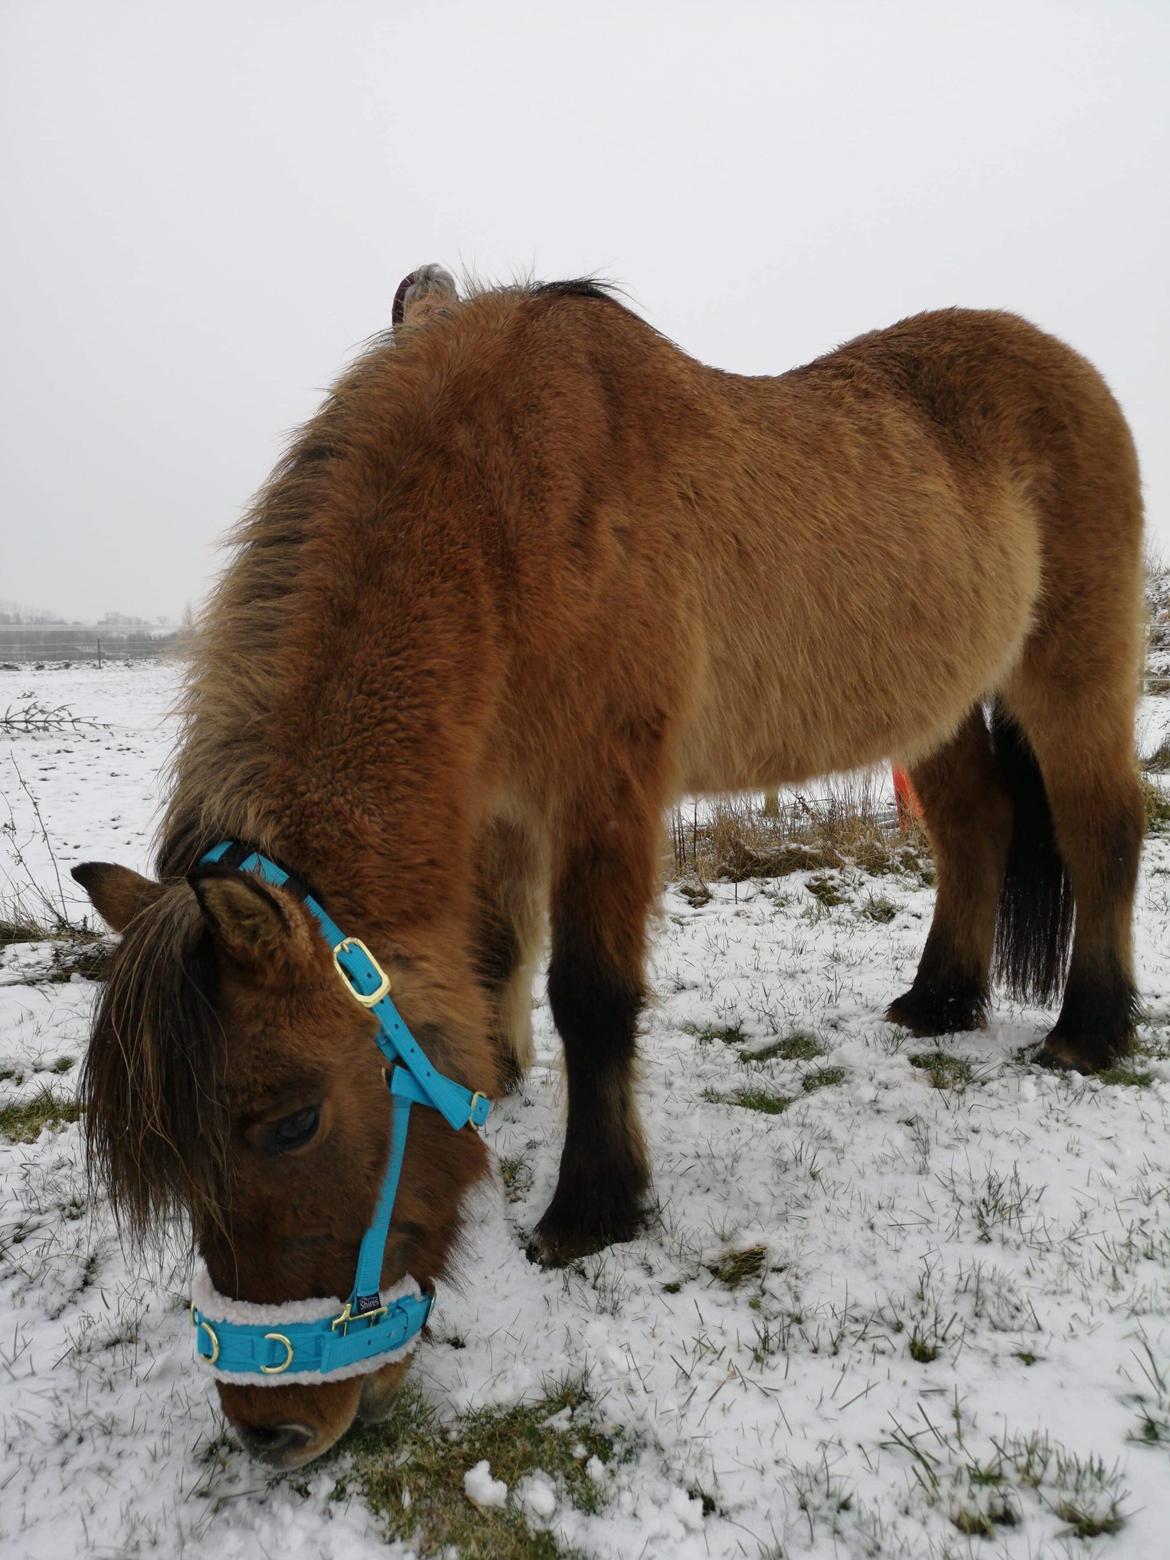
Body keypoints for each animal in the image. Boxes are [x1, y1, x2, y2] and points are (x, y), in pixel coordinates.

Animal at [73, 265, 1148, 1460]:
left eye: (294, 1120)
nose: (276, 1431)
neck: (503, 511)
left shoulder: (605, 796)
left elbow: (590, 997)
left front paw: (593, 1209)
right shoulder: (500, 806)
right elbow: (494, 958)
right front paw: (498, 1094)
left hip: (1075, 665)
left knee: (1106, 827)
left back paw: (1089, 1031)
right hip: (940, 707)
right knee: (974, 830)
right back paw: (942, 1002)